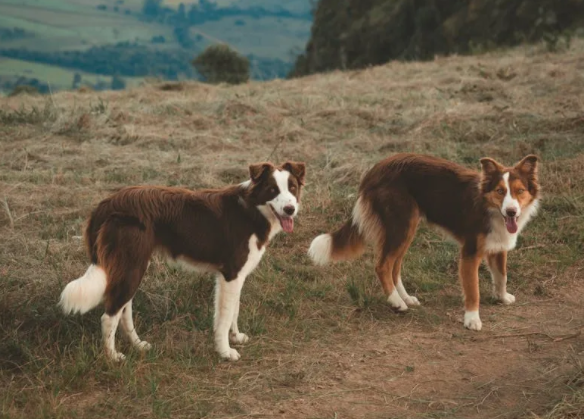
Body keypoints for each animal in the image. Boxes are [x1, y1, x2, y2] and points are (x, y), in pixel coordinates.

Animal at [59, 161, 306, 360]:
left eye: (292, 188)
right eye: (272, 190)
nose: (290, 209)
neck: (252, 210)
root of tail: (107, 203)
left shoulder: (236, 276)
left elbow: (233, 310)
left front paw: (235, 337)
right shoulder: (231, 274)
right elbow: (225, 315)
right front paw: (225, 352)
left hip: (131, 266)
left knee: (123, 310)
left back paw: (138, 345)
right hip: (131, 266)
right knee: (109, 316)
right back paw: (113, 357)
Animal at [308, 153, 540, 332]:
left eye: (519, 191)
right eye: (500, 191)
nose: (512, 211)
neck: (488, 207)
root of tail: (376, 169)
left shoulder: (499, 246)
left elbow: (502, 275)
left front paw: (502, 297)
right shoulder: (470, 253)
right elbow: (473, 289)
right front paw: (472, 319)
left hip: (406, 229)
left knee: (394, 267)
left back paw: (405, 298)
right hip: (401, 226)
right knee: (383, 265)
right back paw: (396, 302)